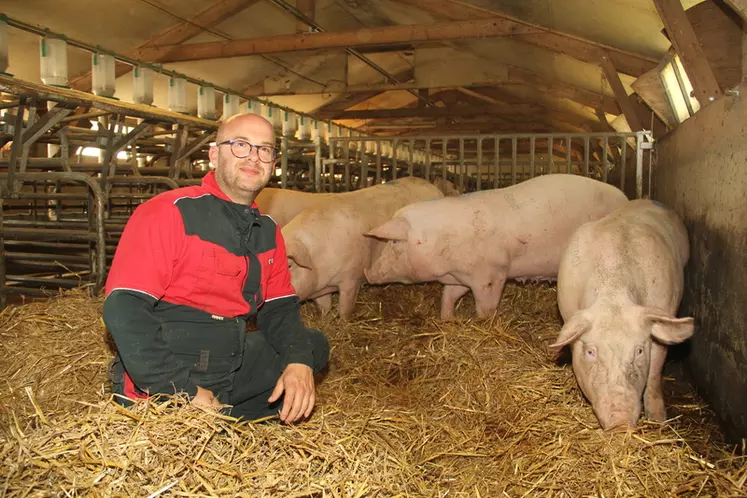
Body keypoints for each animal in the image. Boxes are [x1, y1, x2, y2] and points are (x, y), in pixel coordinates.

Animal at [282, 177, 444, 318]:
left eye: (289, 265)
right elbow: (324, 307)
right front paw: (325, 319)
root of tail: (434, 187)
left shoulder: (352, 277)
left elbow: (345, 308)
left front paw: (343, 321)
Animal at [366, 173, 628, 318]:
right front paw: (447, 320)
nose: (367, 273)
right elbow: (449, 295)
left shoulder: (491, 274)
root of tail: (624, 198)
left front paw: (485, 323)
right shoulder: (461, 276)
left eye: (393, 242)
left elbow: (485, 305)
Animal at [548, 197, 696, 428]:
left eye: (639, 351)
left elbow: (655, 370)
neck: (613, 290)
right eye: (590, 352)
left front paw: (658, 419)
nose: (620, 421)